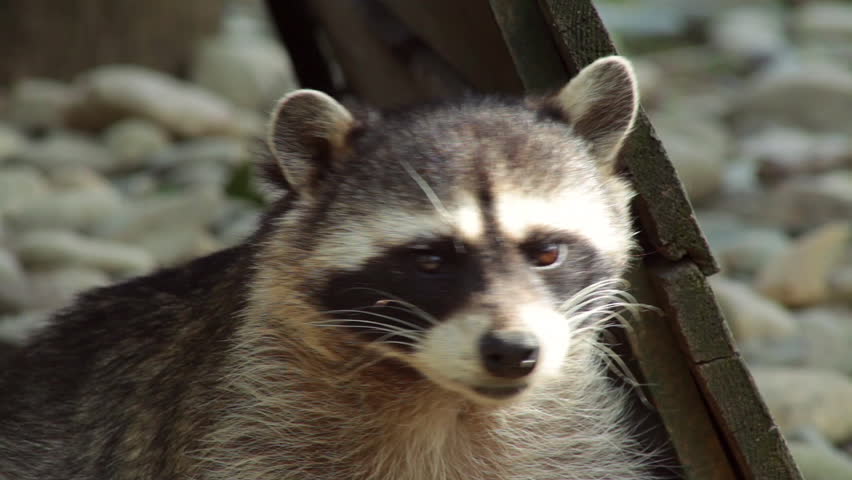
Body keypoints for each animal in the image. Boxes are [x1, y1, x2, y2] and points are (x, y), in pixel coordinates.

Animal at [0, 56, 655, 479]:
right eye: (430, 260)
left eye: (547, 252)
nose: (512, 350)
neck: (441, 398)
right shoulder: (248, 427)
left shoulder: (569, 445)